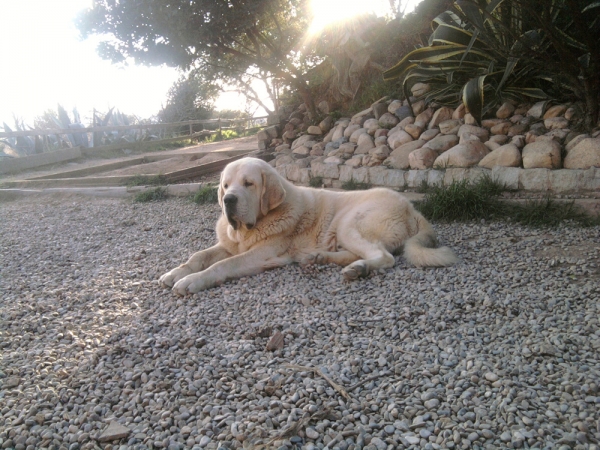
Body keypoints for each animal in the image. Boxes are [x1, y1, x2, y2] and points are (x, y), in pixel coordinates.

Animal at [157, 156, 458, 294]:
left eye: (249, 184)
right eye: (226, 185)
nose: (228, 200)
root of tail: (412, 209)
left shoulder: (259, 254)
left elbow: (222, 265)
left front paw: (191, 281)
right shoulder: (229, 244)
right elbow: (199, 256)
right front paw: (175, 272)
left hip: (350, 221)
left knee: (384, 257)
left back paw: (358, 269)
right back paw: (320, 258)